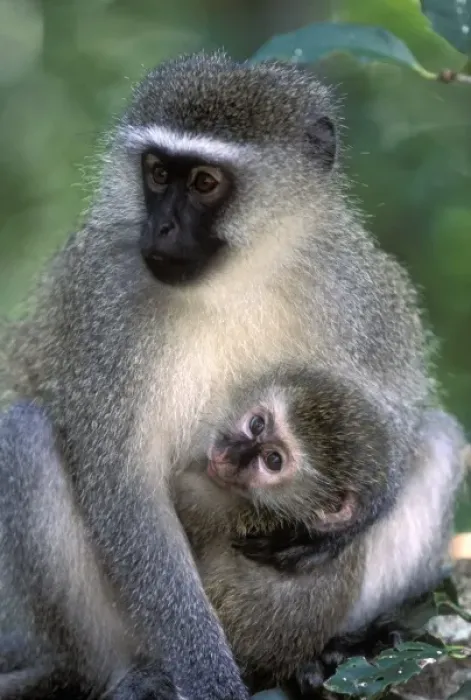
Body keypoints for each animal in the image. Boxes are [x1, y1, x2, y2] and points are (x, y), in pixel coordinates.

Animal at [0, 50, 465, 698]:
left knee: (439, 439)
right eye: (157, 174)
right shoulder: (106, 298)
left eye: (204, 182)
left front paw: (348, 524)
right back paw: (115, 673)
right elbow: (124, 491)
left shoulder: (352, 277)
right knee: (25, 435)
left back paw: (332, 649)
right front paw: (211, 679)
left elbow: (398, 405)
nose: (161, 229)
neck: (234, 279)